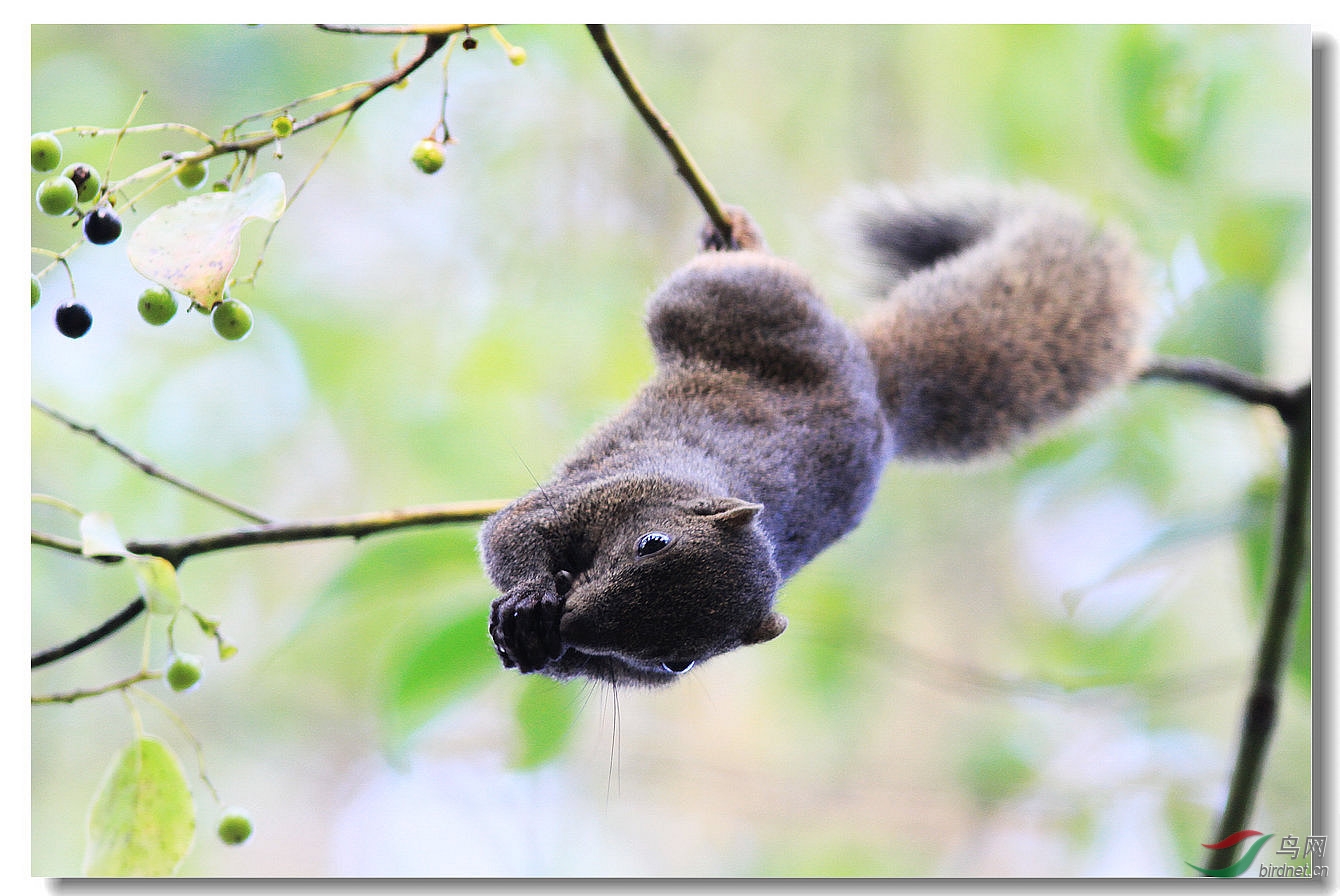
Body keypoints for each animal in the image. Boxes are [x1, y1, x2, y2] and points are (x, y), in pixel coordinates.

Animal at [477, 182, 1147, 685]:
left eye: (678, 661)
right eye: (652, 545)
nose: (574, 626)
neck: (678, 493)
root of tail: (873, 375)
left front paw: (538, 636)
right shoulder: (602, 491)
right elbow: (517, 531)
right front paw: (530, 598)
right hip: (732, 299)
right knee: (723, 277)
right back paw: (738, 235)